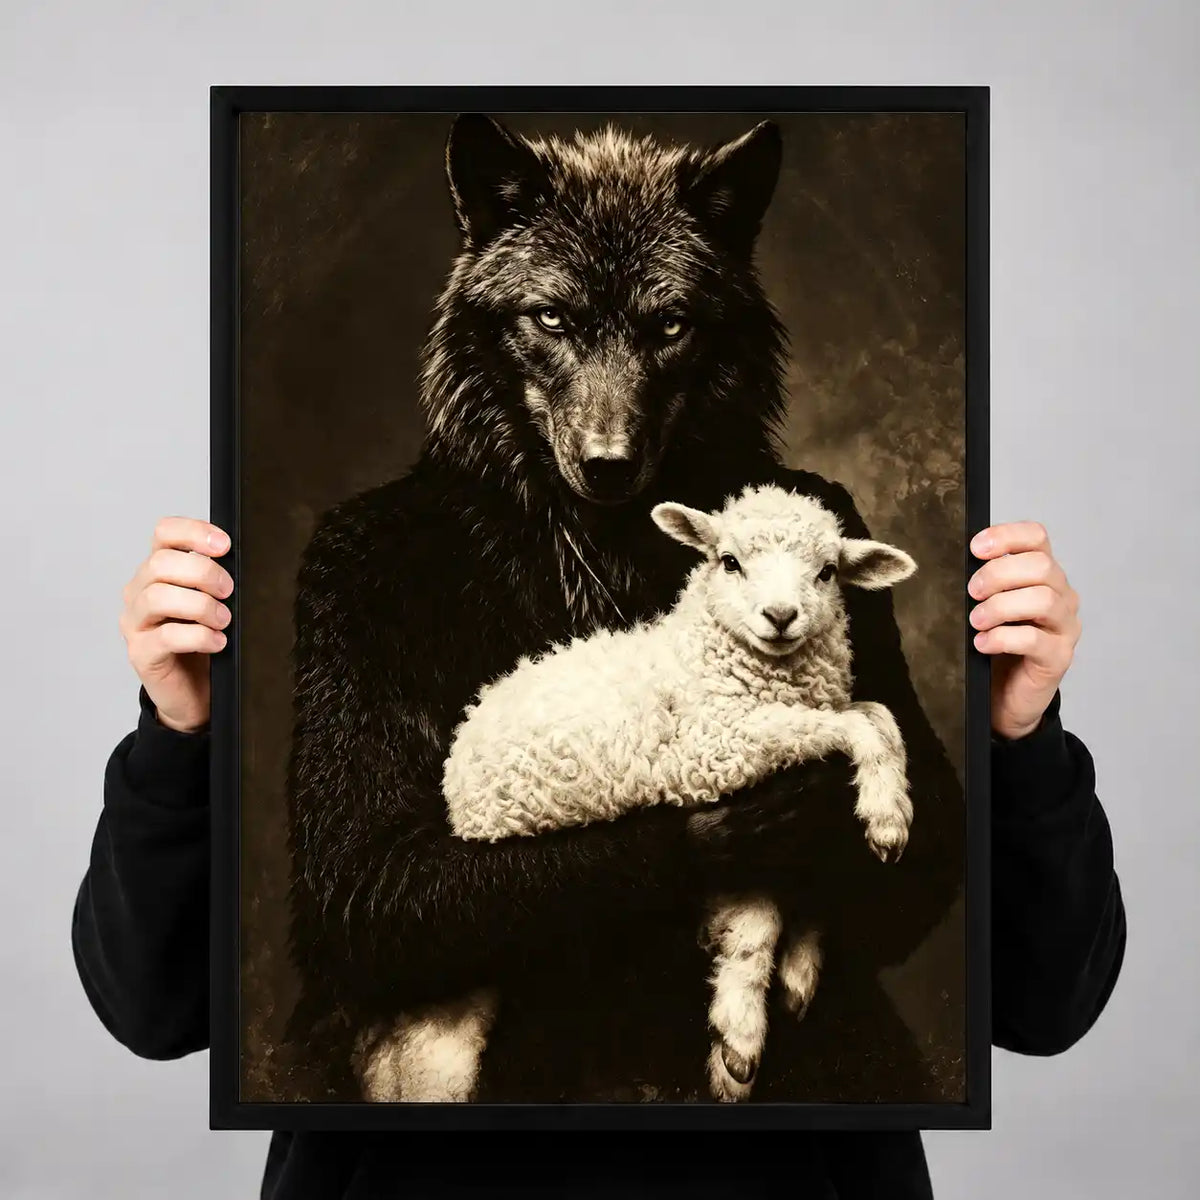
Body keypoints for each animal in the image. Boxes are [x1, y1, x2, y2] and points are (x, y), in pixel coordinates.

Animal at [353, 484, 917, 1104]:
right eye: (729, 561)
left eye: (827, 572)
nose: (780, 617)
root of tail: (457, 793)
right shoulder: (715, 755)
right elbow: (856, 730)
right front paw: (887, 821)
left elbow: (879, 716)